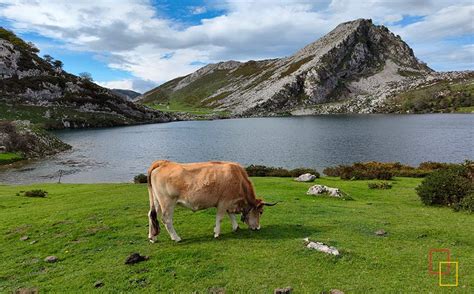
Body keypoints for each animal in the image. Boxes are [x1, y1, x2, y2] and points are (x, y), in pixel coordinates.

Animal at [146, 161, 276, 241]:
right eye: (261, 212)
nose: (258, 227)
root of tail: (163, 162)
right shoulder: (223, 201)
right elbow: (220, 218)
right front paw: (217, 233)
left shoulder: (229, 202)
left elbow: (231, 215)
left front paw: (235, 227)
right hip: (168, 202)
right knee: (166, 219)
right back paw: (176, 238)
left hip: (156, 201)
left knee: (151, 215)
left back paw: (153, 237)